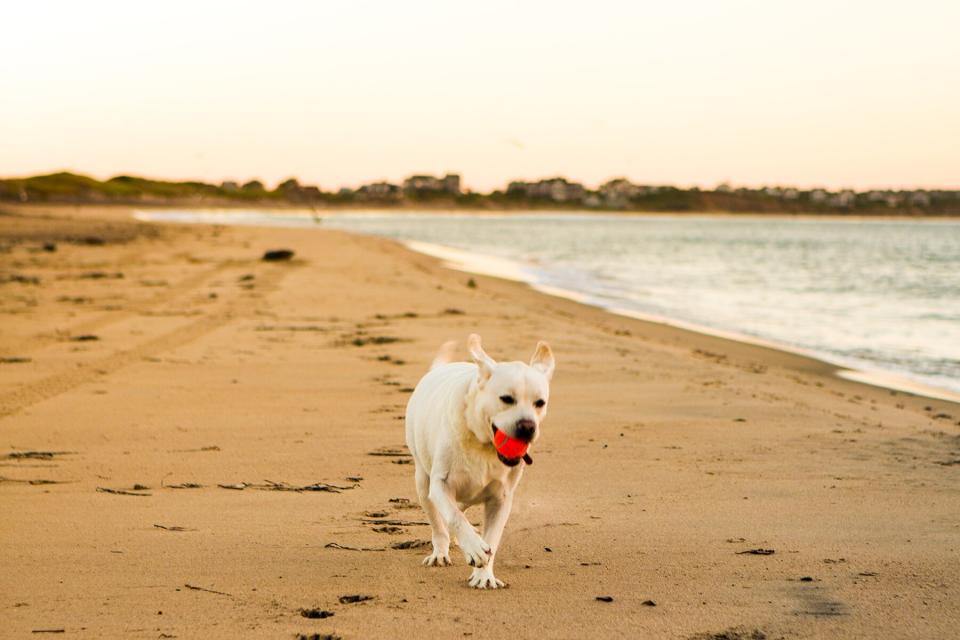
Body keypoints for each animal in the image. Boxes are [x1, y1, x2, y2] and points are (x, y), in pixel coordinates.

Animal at [404, 336, 556, 592]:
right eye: (506, 399)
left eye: (540, 403)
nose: (528, 427)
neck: (483, 446)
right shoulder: (440, 485)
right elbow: (454, 517)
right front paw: (475, 548)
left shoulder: (501, 500)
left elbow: (492, 536)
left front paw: (484, 575)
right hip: (423, 484)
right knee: (439, 523)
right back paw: (440, 552)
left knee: (460, 508)